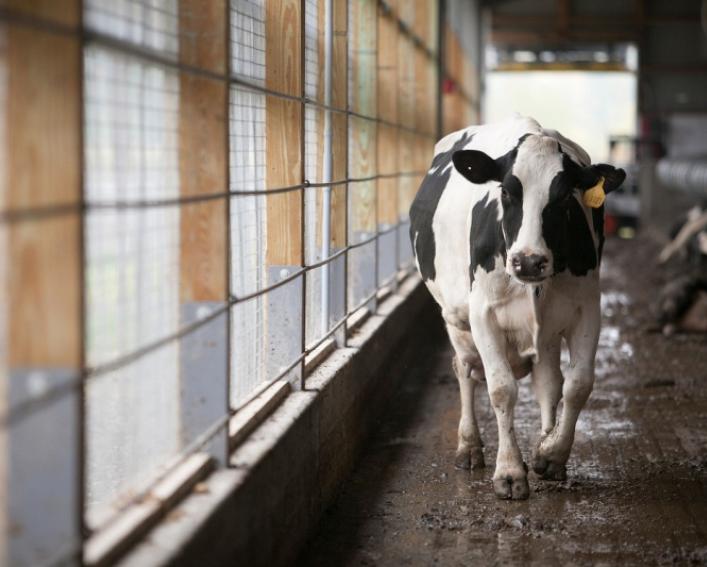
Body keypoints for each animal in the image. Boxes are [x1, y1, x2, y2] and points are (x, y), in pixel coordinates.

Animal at [409, 115, 625, 500]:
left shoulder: (587, 307)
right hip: (455, 317)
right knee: (464, 368)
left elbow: (577, 384)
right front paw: (509, 471)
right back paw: (469, 445)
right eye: (507, 191)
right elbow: (501, 388)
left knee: (549, 381)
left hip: (548, 328)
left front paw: (551, 453)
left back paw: (544, 442)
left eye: (564, 197)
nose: (528, 261)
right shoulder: (483, 314)